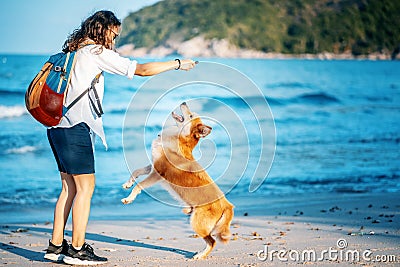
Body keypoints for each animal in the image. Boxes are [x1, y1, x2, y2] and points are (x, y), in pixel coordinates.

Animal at [122, 102, 234, 260]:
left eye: (191, 115)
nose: (184, 102)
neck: (176, 139)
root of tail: (227, 206)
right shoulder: (152, 166)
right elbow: (136, 171)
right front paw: (128, 183)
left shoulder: (157, 174)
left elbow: (140, 185)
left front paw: (129, 198)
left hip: (197, 223)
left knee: (212, 241)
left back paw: (200, 255)